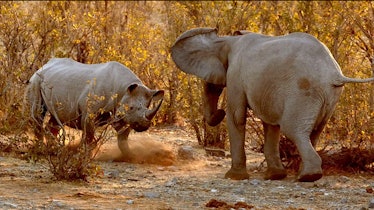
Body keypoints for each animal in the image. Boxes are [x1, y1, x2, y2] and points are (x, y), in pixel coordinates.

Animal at [26, 57, 164, 153]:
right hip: (35, 81)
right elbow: (89, 136)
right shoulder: (90, 113)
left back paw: (53, 149)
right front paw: (85, 153)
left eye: (148, 106)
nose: (143, 126)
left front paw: (129, 155)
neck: (124, 88)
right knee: (38, 114)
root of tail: (44, 65)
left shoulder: (122, 115)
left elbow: (123, 137)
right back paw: (42, 149)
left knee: (57, 118)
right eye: (131, 108)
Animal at [171, 27, 374, 182]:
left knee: (292, 129)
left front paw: (234, 177)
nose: (219, 111)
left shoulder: (236, 74)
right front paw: (274, 176)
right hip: (328, 97)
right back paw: (305, 174)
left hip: (304, 92)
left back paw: (307, 177)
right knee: (314, 132)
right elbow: (270, 124)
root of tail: (335, 74)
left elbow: (237, 117)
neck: (228, 39)